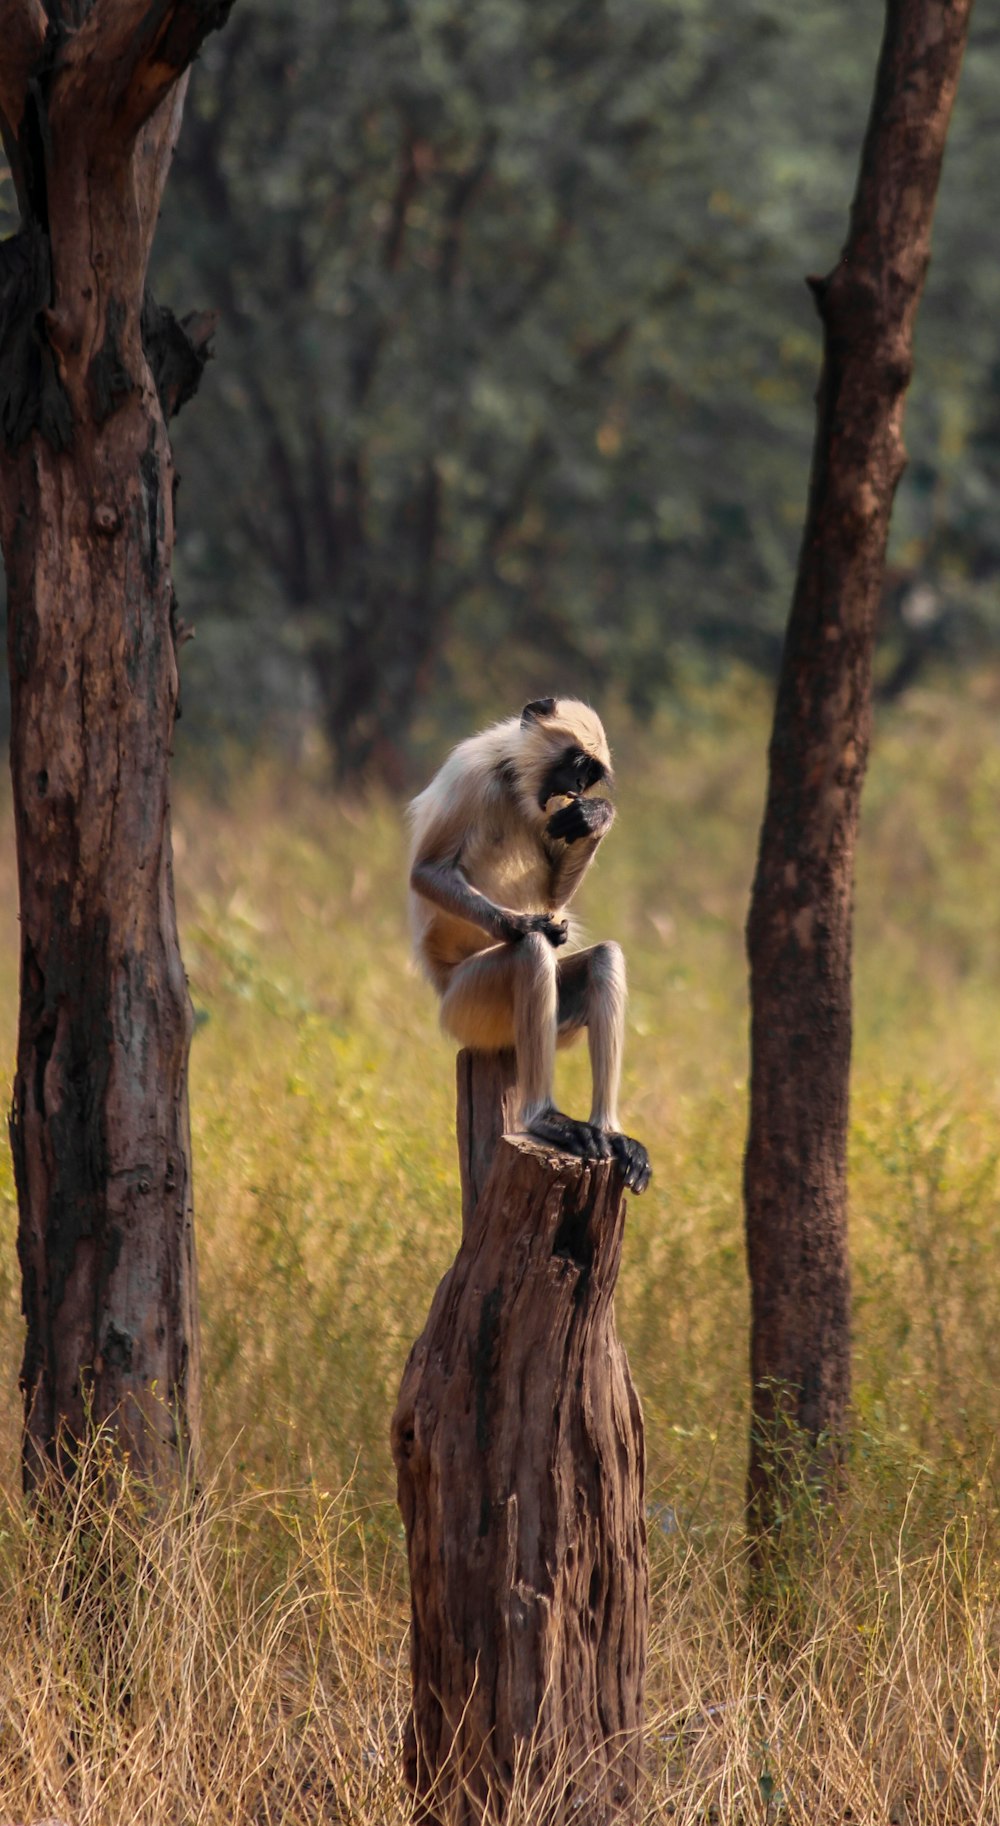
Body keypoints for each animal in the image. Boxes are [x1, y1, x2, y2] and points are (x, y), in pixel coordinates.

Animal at [410, 690, 653, 1190]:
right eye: (575, 763)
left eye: (588, 776)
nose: (578, 784)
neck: (510, 780)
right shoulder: (469, 773)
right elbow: (424, 873)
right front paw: (525, 925)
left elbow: (557, 890)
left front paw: (597, 815)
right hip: (467, 1007)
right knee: (531, 953)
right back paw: (545, 1117)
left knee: (605, 957)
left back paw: (610, 1132)